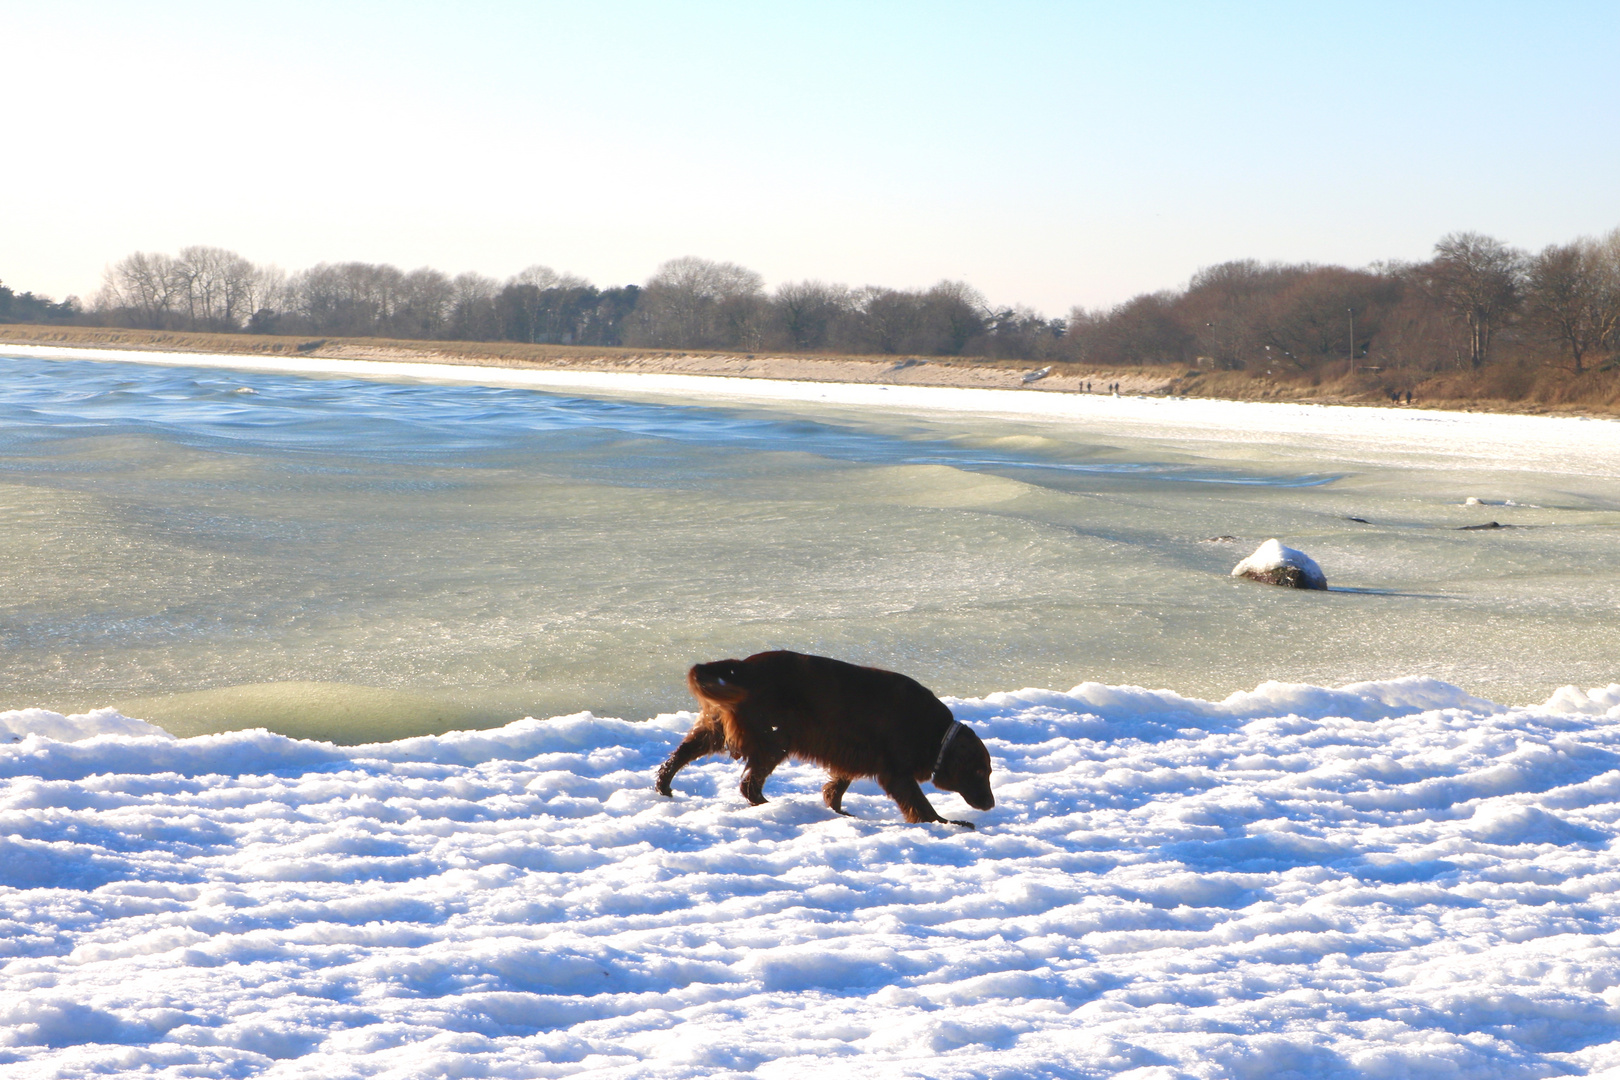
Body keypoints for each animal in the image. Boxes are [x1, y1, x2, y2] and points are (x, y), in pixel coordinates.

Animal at [654, 650, 984, 829]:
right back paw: (772, 806)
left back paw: (664, 787)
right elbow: (920, 805)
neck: (935, 733)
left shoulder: (856, 756)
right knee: (749, 784)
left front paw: (839, 809)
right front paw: (948, 823)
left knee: (681, 755)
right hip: (775, 739)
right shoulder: (896, 773)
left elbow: (836, 787)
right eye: (982, 771)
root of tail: (743, 668)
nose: (990, 803)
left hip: (717, 729)